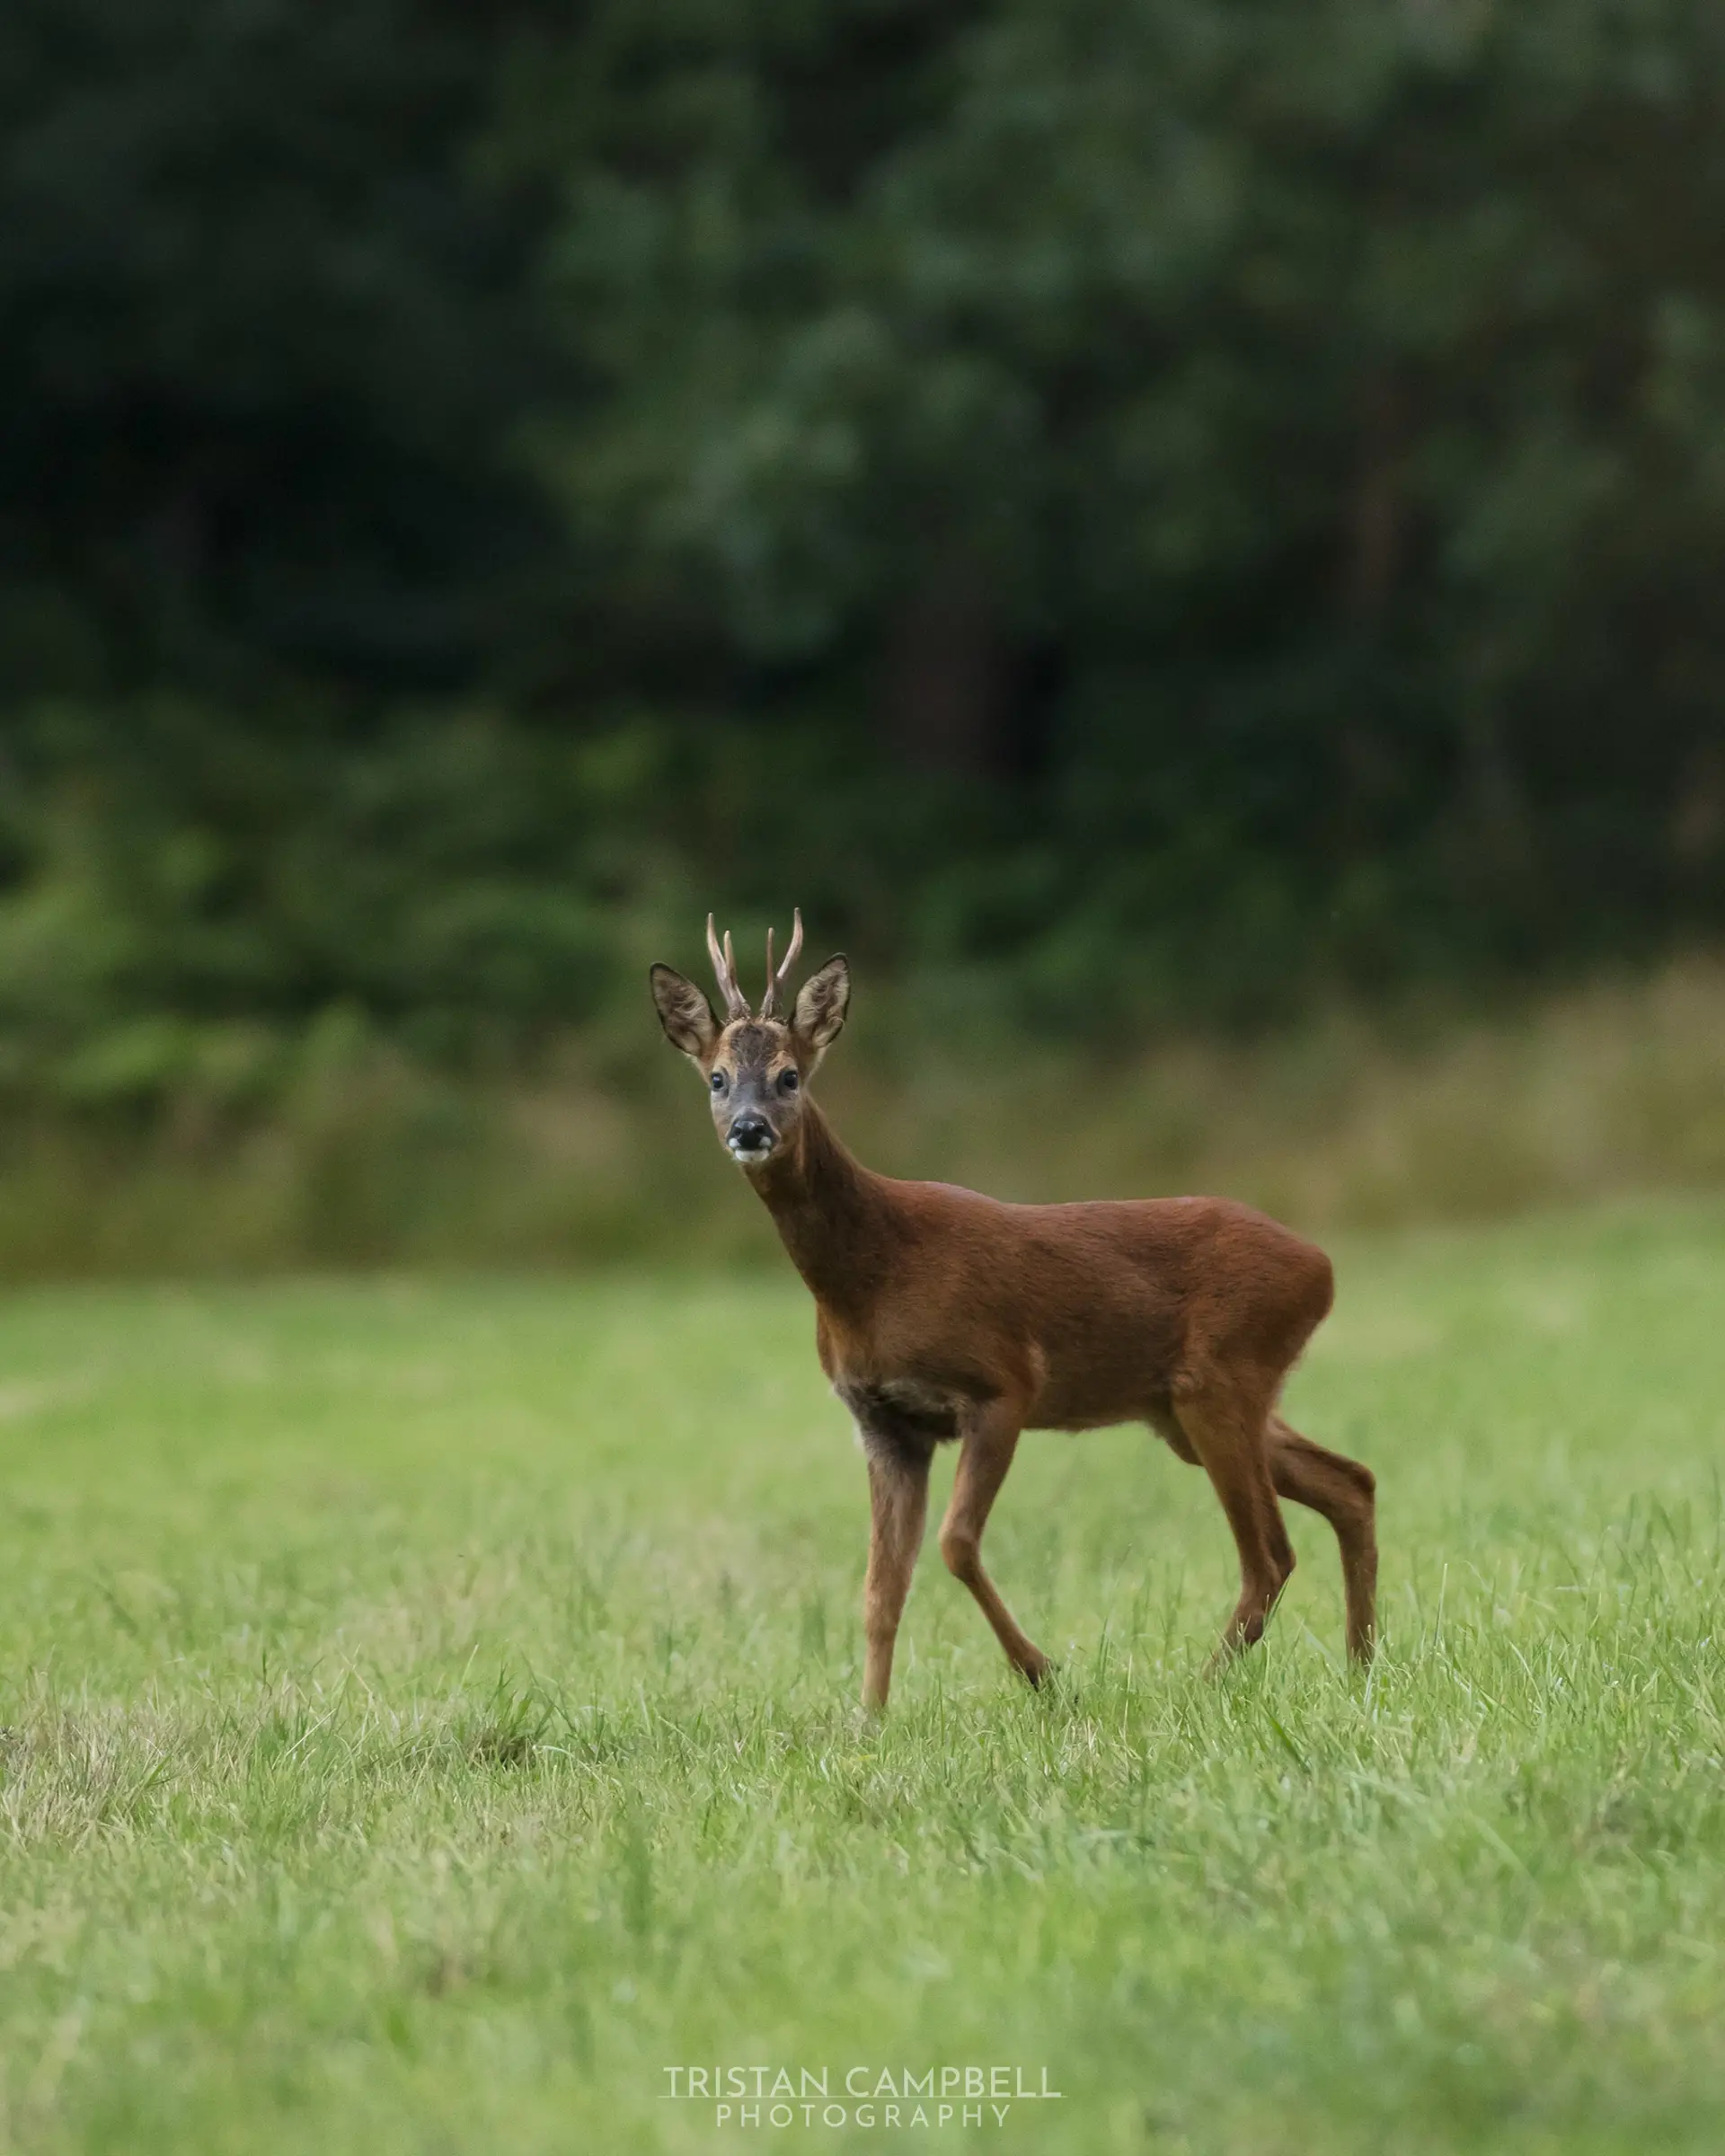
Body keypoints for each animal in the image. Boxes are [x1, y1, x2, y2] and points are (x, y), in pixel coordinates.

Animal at [650, 912, 1377, 1712]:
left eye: (790, 1076)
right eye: (717, 1078)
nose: (749, 1129)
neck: (874, 1278)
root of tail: (1321, 1266)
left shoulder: (1002, 1384)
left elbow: (955, 1545)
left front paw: (1044, 1674)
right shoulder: (884, 1424)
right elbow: (880, 1590)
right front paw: (867, 1722)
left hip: (1220, 1380)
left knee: (1271, 1554)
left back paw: (1202, 1685)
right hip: (1183, 1409)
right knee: (1352, 1483)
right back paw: (1361, 1665)